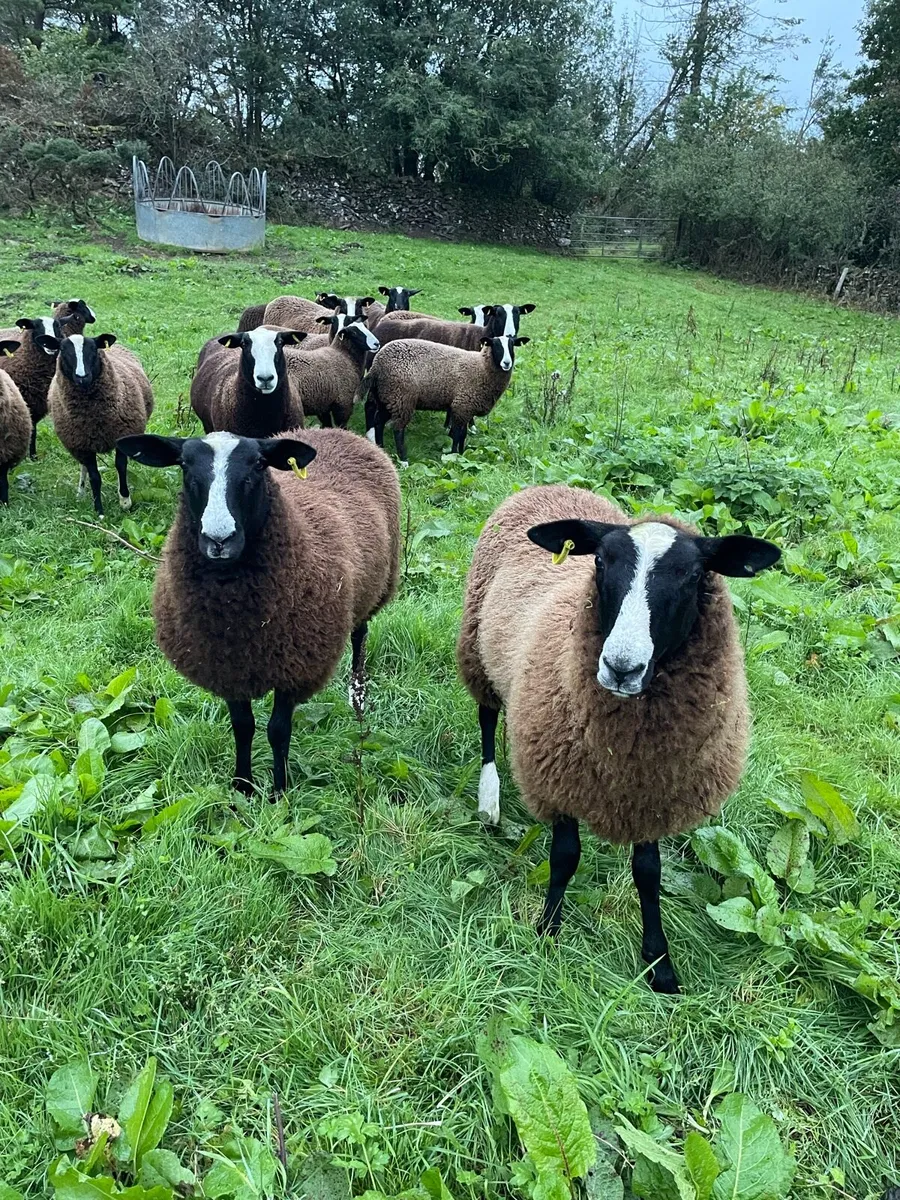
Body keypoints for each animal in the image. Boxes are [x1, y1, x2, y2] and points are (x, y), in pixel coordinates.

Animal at [39, 332, 154, 516]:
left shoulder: (122, 436)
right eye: (62, 349)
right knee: (84, 467)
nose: (82, 377)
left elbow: (121, 467)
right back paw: (80, 492)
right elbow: (94, 476)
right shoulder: (83, 445)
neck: (94, 419)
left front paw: (125, 502)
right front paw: (99, 510)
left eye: (93, 349)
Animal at [116, 427, 401, 795]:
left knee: (360, 634)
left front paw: (279, 791)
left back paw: (357, 696)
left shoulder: (294, 667)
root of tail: (332, 430)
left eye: (257, 466)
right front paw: (242, 787)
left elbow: (278, 731)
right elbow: (243, 726)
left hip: (377, 586)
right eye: (184, 466)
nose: (219, 539)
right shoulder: (227, 668)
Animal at [361, 333, 528, 461]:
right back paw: (403, 460)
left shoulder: (465, 409)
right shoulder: (462, 406)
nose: (507, 363)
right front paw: (454, 456)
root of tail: (377, 364)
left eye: (512, 346)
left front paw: (462, 454)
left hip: (387, 397)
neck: (481, 367)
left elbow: (462, 434)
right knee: (398, 429)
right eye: (496, 345)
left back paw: (381, 448)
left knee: (379, 422)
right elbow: (457, 434)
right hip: (401, 398)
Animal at [456, 484, 781, 993]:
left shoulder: (652, 794)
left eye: (693, 574)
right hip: (475, 644)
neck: (625, 749)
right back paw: (489, 799)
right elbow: (564, 857)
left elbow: (649, 874)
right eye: (601, 562)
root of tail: (552, 486)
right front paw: (548, 932)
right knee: (488, 718)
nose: (620, 667)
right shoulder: (561, 779)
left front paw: (659, 963)